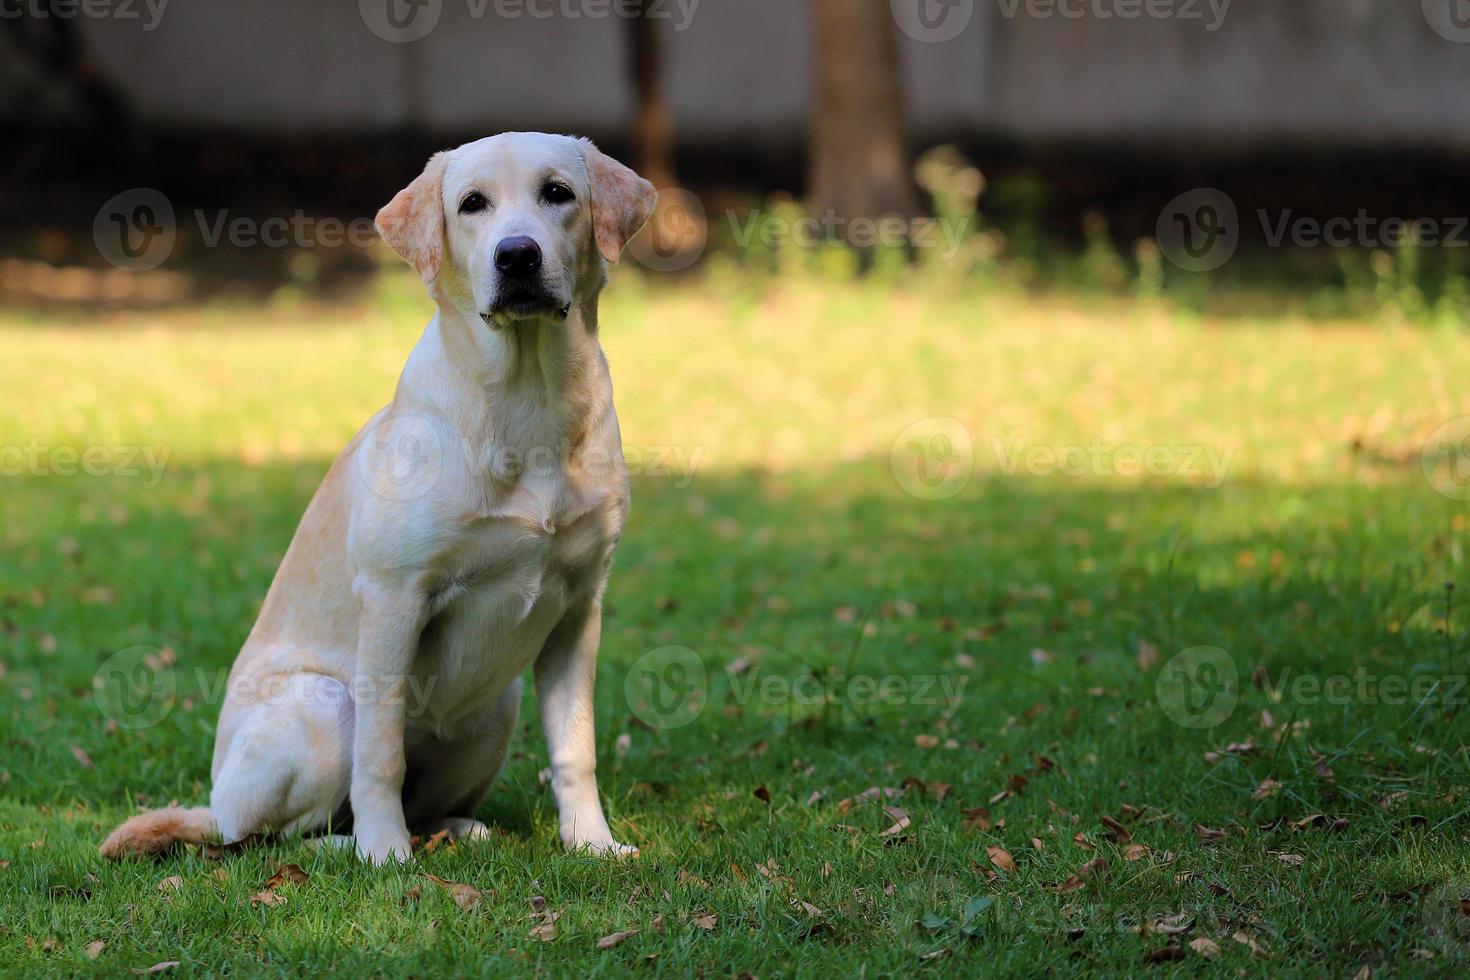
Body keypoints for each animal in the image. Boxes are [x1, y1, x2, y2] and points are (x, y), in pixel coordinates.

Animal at [103, 134, 655, 863]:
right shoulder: (396, 599)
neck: (528, 400)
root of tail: (211, 806)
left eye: (558, 193)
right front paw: (386, 856)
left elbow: (575, 747)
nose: (517, 255)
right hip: (323, 705)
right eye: (472, 204)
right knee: (276, 835)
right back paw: (357, 848)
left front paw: (591, 843)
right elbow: (381, 756)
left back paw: (456, 830)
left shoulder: (578, 609)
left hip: (496, 707)